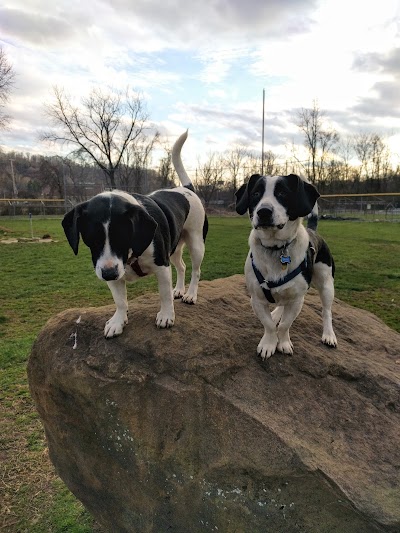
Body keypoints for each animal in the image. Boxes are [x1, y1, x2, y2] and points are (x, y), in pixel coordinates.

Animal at [62, 130, 209, 336]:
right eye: (91, 239)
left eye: (123, 237)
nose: (108, 274)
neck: (132, 255)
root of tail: (185, 189)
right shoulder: (112, 271)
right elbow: (120, 301)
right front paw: (118, 321)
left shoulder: (162, 265)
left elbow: (164, 295)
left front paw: (166, 315)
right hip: (174, 248)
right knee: (182, 266)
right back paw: (179, 289)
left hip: (196, 243)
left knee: (196, 270)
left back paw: (191, 294)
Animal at [236, 172, 336, 360]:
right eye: (256, 194)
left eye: (282, 193)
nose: (264, 211)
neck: (276, 248)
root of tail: (314, 232)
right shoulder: (256, 299)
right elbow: (268, 324)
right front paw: (268, 343)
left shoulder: (297, 300)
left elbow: (285, 325)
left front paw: (282, 343)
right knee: (282, 303)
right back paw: (276, 313)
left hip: (326, 283)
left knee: (326, 311)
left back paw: (329, 334)